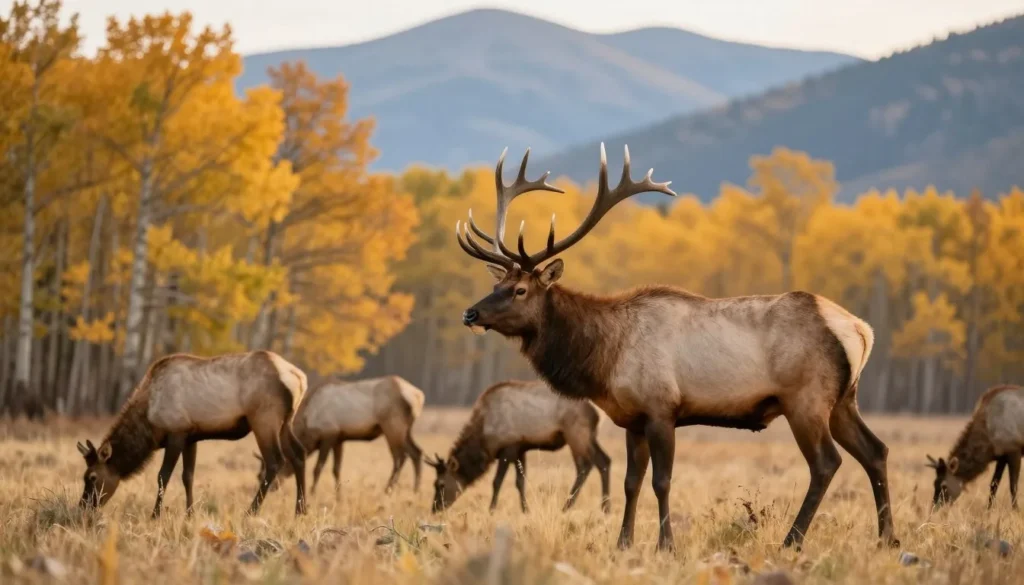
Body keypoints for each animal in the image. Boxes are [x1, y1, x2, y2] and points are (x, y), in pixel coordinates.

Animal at [77, 351, 308, 518]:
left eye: (92, 477)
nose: (83, 506)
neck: (149, 421)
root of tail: (299, 378)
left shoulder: (176, 432)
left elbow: (163, 476)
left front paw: (155, 515)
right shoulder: (191, 437)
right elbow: (188, 476)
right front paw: (190, 514)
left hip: (264, 419)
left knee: (275, 461)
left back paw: (251, 511)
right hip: (286, 422)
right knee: (299, 454)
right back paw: (301, 510)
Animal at [254, 376, 426, 496]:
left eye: (261, 475)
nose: (272, 488)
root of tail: (418, 396)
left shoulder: (328, 435)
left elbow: (318, 467)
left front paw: (313, 492)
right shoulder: (339, 439)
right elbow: (336, 469)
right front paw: (338, 495)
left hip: (392, 426)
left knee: (400, 456)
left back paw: (388, 489)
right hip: (405, 429)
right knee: (416, 452)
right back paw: (416, 489)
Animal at [427, 380, 610, 514]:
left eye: (440, 484)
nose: (435, 509)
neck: (485, 438)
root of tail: (598, 409)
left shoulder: (508, 447)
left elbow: (497, 481)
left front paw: (491, 509)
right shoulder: (520, 449)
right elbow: (520, 482)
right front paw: (525, 510)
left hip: (576, 433)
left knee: (585, 465)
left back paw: (567, 506)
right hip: (589, 435)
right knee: (604, 460)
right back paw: (605, 508)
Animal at [452, 144, 899, 551]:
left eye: (520, 290)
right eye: (497, 283)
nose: (470, 313)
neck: (605, 358)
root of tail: (860, 330)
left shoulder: (661, 408)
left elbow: (661, 481)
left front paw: (665, 545)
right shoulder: (632, 419)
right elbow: (632, 481)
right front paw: (624, 543)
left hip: (806, 398)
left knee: (827, 463)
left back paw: (793, 541)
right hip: (844, 400)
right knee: (876, 451)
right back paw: (887, 539)